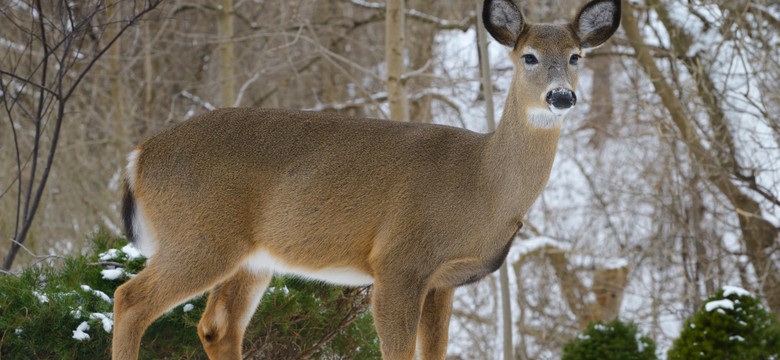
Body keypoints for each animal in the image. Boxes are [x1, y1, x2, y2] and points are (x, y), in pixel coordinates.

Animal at [111, 0, 620, 358]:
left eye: (576, 56)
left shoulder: (444, 281)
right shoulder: (399, 261)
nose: (561, 96)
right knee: (129, 299)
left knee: (217, 327)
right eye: (529, 57)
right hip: (200, 235)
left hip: (251, 258)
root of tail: (139, 155)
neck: (481, 184)